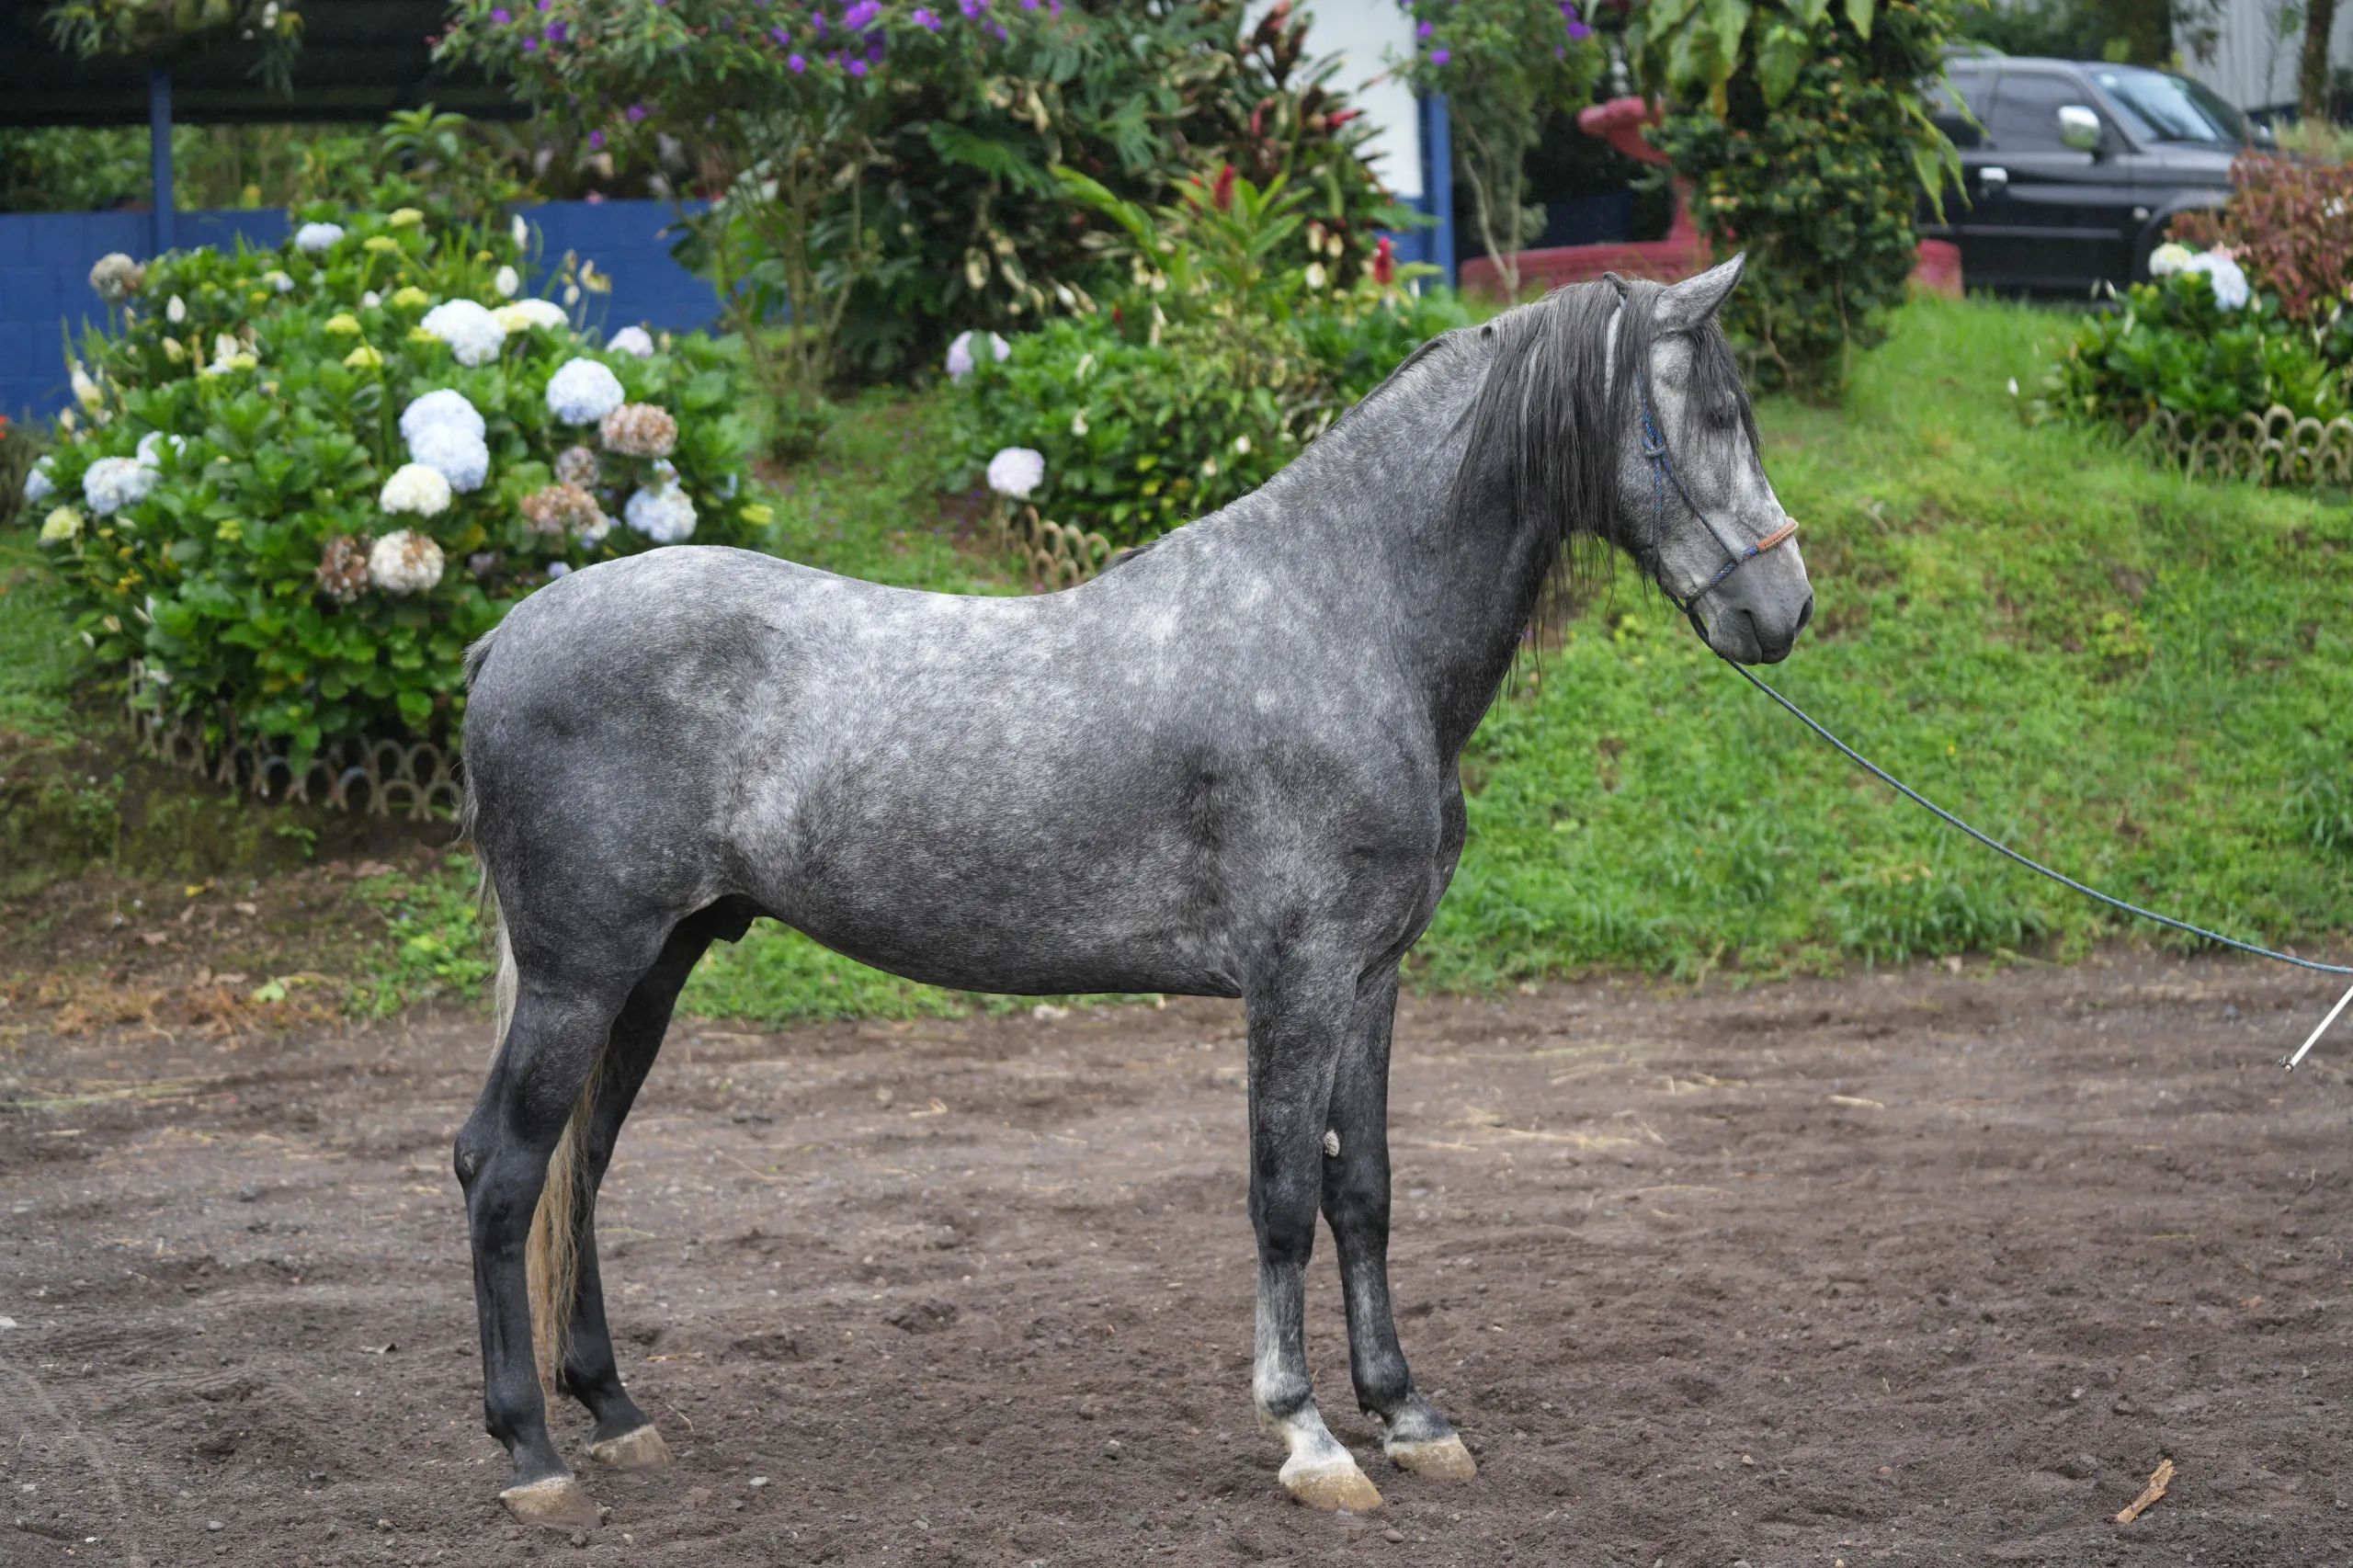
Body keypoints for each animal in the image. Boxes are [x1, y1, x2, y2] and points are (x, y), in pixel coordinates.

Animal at [451, 255, 1813, 1527]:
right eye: (1712, 412)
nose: (1784, 608)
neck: (1346, 619)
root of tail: (507, 633)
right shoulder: (1295, 977)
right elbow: (1281, 1199)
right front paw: (1308, 1434)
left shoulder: (1372, 976)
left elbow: (1363, 1190)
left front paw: (1409, 1413)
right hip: (582, 974)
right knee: (504, 1167)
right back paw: (530, 1451)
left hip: (653, 967)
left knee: (583, 1165)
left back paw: (615, 1411)